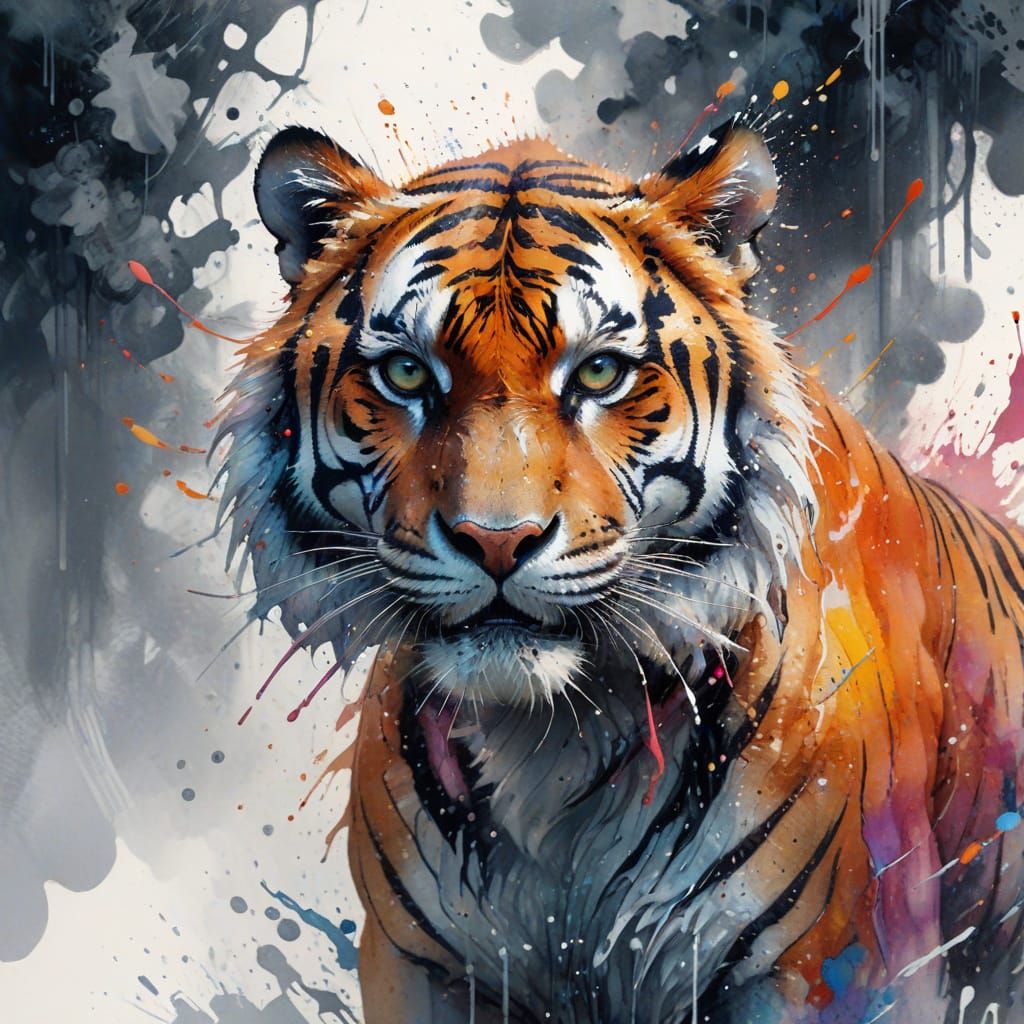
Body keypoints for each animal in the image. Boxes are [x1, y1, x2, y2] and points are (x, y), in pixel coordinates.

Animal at [216, 120, 1024, 1023]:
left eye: (600, 372)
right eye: (407, 373)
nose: (496, 540)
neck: (547, 738)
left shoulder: (841, 967)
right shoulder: (420, 965)